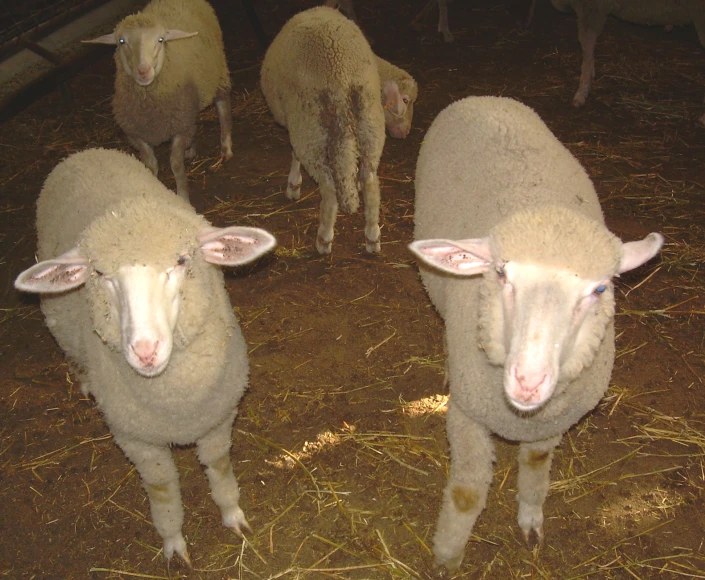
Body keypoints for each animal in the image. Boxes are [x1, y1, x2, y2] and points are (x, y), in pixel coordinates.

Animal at [14, 148, 276, 568]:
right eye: (99, 272)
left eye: (183, 261)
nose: (145, 351)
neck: (176, 405)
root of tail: (83, 152)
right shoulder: (136, 439)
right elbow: (162, 488)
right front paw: (173, 542)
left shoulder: (218, 416)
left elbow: (219, 465)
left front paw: (232, 514)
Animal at [85, 0, 232, 203]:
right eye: (122, 41)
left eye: (160, 40)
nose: (143, 71)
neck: (149, 104)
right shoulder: (136, 134)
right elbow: (150, 165)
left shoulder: (179, 129)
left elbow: (176, 165)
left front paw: (183, 198)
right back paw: (191, 149)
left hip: (217, 71)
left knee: (223, 107)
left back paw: (226, 147)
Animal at [262, 4, 418, 254]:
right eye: (405, 100)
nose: (406, 132)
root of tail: (342, 76)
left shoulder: (294, 122)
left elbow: (294, 154)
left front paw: (293, 184)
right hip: (370, 125)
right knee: (371, 181)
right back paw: (372, 236)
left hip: (311, 127)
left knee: (329, 187)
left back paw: (324, 238)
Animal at [404, 96, 664, 572]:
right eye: (501, 273)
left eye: (600, 289)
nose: (528, 381)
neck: (520, 416)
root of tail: (485, 98)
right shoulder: (468, 415)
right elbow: (467, 494)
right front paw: (448, 555)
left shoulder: (553, 420)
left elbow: (538, 464)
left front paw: (530, 519)